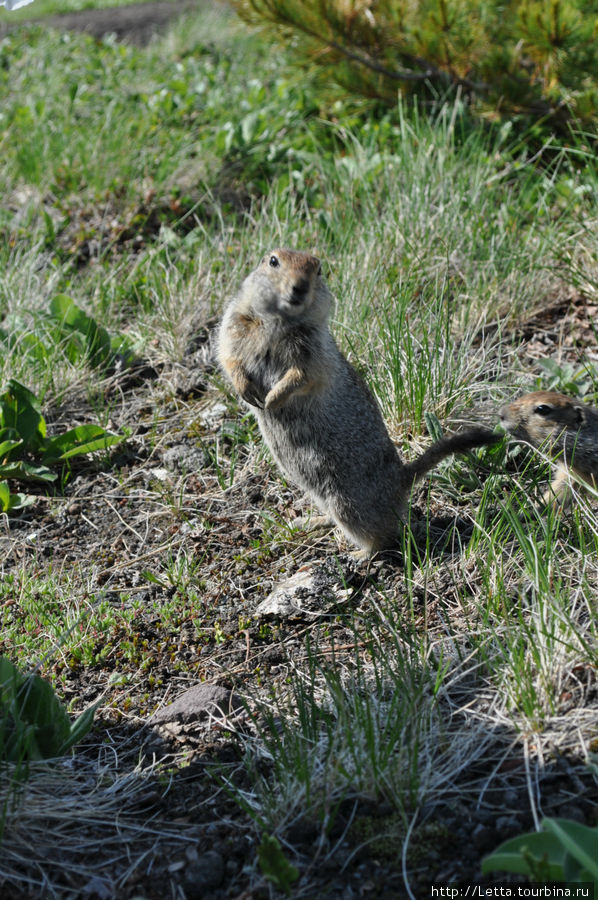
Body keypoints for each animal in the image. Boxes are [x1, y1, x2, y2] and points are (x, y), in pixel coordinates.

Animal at [218, 248, 504, 556]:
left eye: (318, 270)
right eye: (273, 261)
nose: (300, 287)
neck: (278, 322)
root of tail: (402, 479)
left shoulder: (313, 351)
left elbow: (302, 375)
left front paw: (272, 399)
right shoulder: (235, 322)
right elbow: (229, 356)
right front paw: (246, 389)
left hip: (348, 503)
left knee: (384, 536)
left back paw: (359, 554)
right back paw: (310, 521)